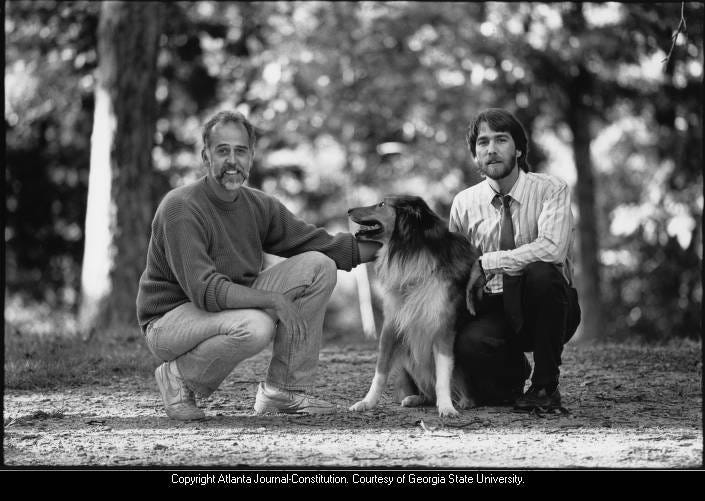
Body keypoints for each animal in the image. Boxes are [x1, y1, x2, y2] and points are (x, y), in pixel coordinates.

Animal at [346, 195, 484, 418]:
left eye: (382, 204)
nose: (349, 210)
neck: (409, 251)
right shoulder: (391, 326)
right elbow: (380, 372)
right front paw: (367, 402)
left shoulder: (443, 329)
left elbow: (443, 376)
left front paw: (447, 407)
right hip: (408, 364)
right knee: (426, 393)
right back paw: (414, 398)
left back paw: (463, 401)